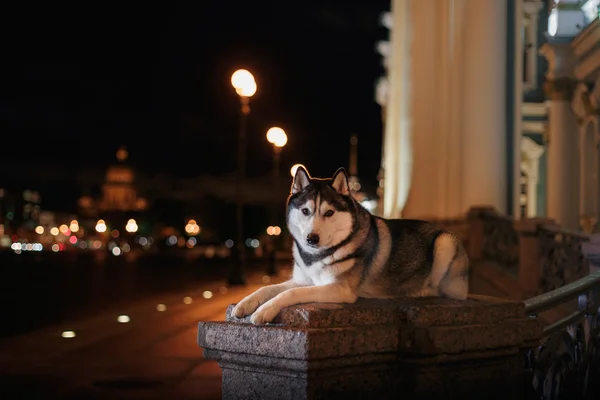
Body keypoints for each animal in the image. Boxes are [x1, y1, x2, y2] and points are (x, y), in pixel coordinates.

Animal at [232, 166, 472, 324]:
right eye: (305, 211)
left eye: (329, 213)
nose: (311, 238)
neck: (318, 255)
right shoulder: (303, 280)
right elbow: (268, 288)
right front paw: (245, 303)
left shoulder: (339, 289)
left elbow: (290, 294)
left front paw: (265, 310)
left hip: (444, 243)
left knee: (447, 291)